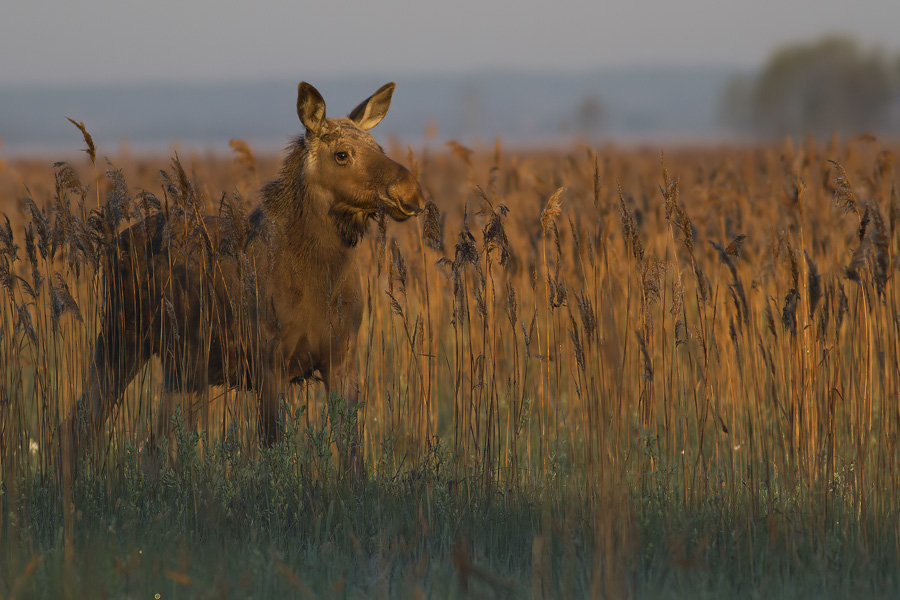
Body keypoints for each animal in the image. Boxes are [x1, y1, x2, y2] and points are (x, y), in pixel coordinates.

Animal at [61, 81, 424, 474]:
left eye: (379, 147)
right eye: (342, 154)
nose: (411, 192)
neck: (320, 277)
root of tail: (110, 246)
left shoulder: (343, 358)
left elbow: (353, 452)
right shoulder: (268, 361)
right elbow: (272, 450)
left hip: (179, 366)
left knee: (155, 440)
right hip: (119, 336)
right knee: (83, 417)